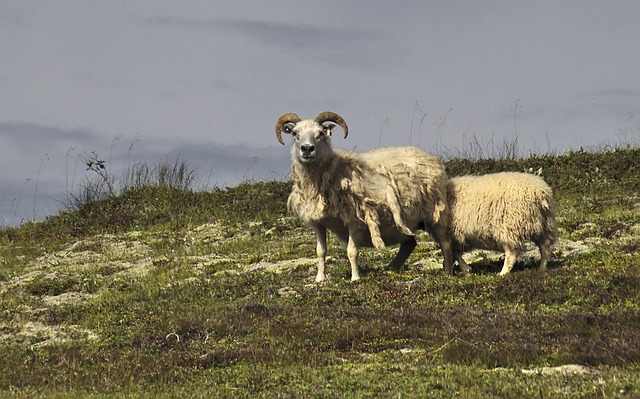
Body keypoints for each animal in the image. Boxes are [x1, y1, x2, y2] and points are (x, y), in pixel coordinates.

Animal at [276, 111, 456, 282]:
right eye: (294, 133)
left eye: (320, 133)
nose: (307, 148)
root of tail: (429, 157)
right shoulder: (318, 222)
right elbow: (321, 251)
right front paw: (320, 279)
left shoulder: (355, 220)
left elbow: (351, 251)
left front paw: (355, 278)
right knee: (410, 243)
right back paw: (391, 268)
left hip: (435, 213)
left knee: (445, 243)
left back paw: (447, 272)